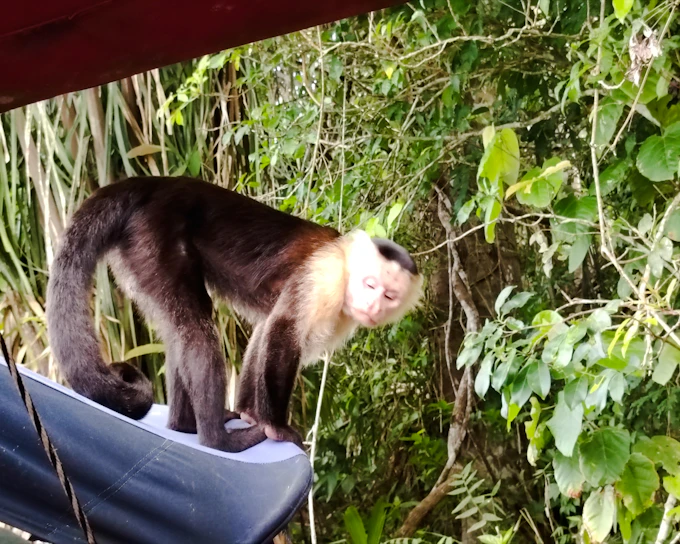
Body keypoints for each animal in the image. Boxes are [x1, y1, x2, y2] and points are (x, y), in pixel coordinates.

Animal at [46, 176, 423, 452]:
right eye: (370, 284)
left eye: (388, 295)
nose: (373, 306)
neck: (346, 268)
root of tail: (151, 184)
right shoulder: (325, 275)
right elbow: (283, 330)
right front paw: (275, 426)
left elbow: (265, 331)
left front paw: (250, 412)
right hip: (153, 236)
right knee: (197, 329)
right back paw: (216, 439)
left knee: (179, 331)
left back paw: (183, 424)